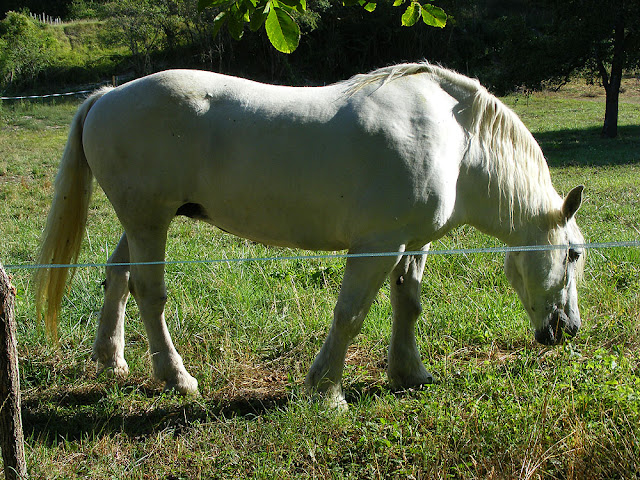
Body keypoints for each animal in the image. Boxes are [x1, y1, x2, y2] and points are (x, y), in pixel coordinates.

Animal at [35, 62, 584, 408]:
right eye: (575, 254)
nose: (568, 330)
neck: (458, 142)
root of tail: (108, 96)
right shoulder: (376, 246)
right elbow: (351, 315)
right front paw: (326, 391)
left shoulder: (412, 242)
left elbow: (407, 304)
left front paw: (408, 373)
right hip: (150, 221)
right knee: (149, 293)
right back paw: (177, 378)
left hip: (140, 222)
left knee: (117, 278)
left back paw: (111, 360)